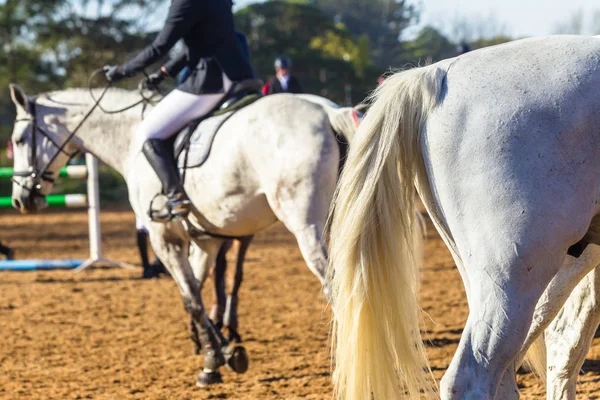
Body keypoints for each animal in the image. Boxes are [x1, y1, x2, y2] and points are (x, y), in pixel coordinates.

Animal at [10, 86, 356, 386]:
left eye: (19, 140)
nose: (20, 200)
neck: (130, 137)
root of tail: (327, 112)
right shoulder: (206, 239)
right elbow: (198, 290)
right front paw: (218, 354)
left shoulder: (165, 238)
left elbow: (190, 296)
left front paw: (214, 356)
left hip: (306, 227)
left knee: (336, 287)